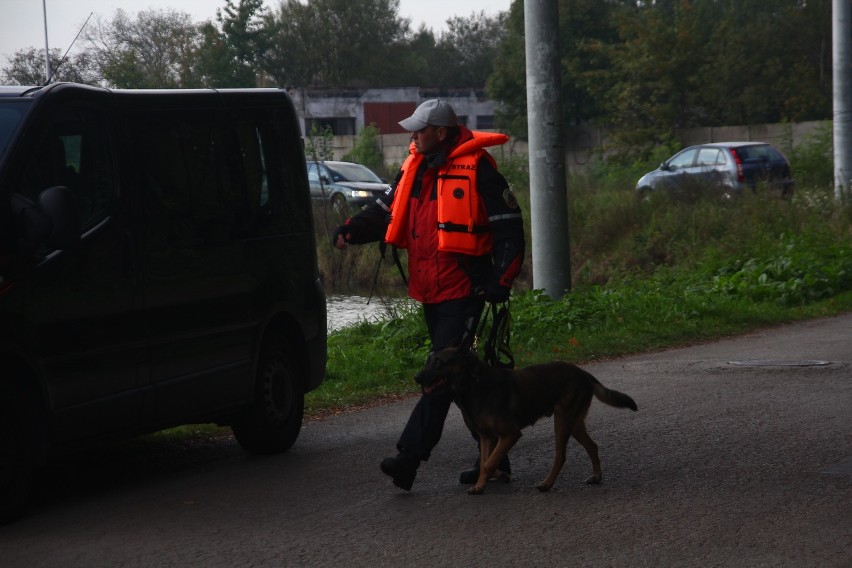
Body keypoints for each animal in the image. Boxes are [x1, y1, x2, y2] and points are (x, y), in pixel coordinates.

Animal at [416, 344, 636, 494]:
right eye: (428, 361)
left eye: (438, 363)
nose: (416, 378)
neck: (472, 385)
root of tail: (584, 373)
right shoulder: (487, 437)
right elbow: (487, 463)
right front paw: (487, 482)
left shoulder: (510, 434)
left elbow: (488, 463)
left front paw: (486, 483)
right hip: (573, 423)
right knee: (592, 446)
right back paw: (596, 476)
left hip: (562, 421)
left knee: (561, 456)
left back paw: (547, 484)